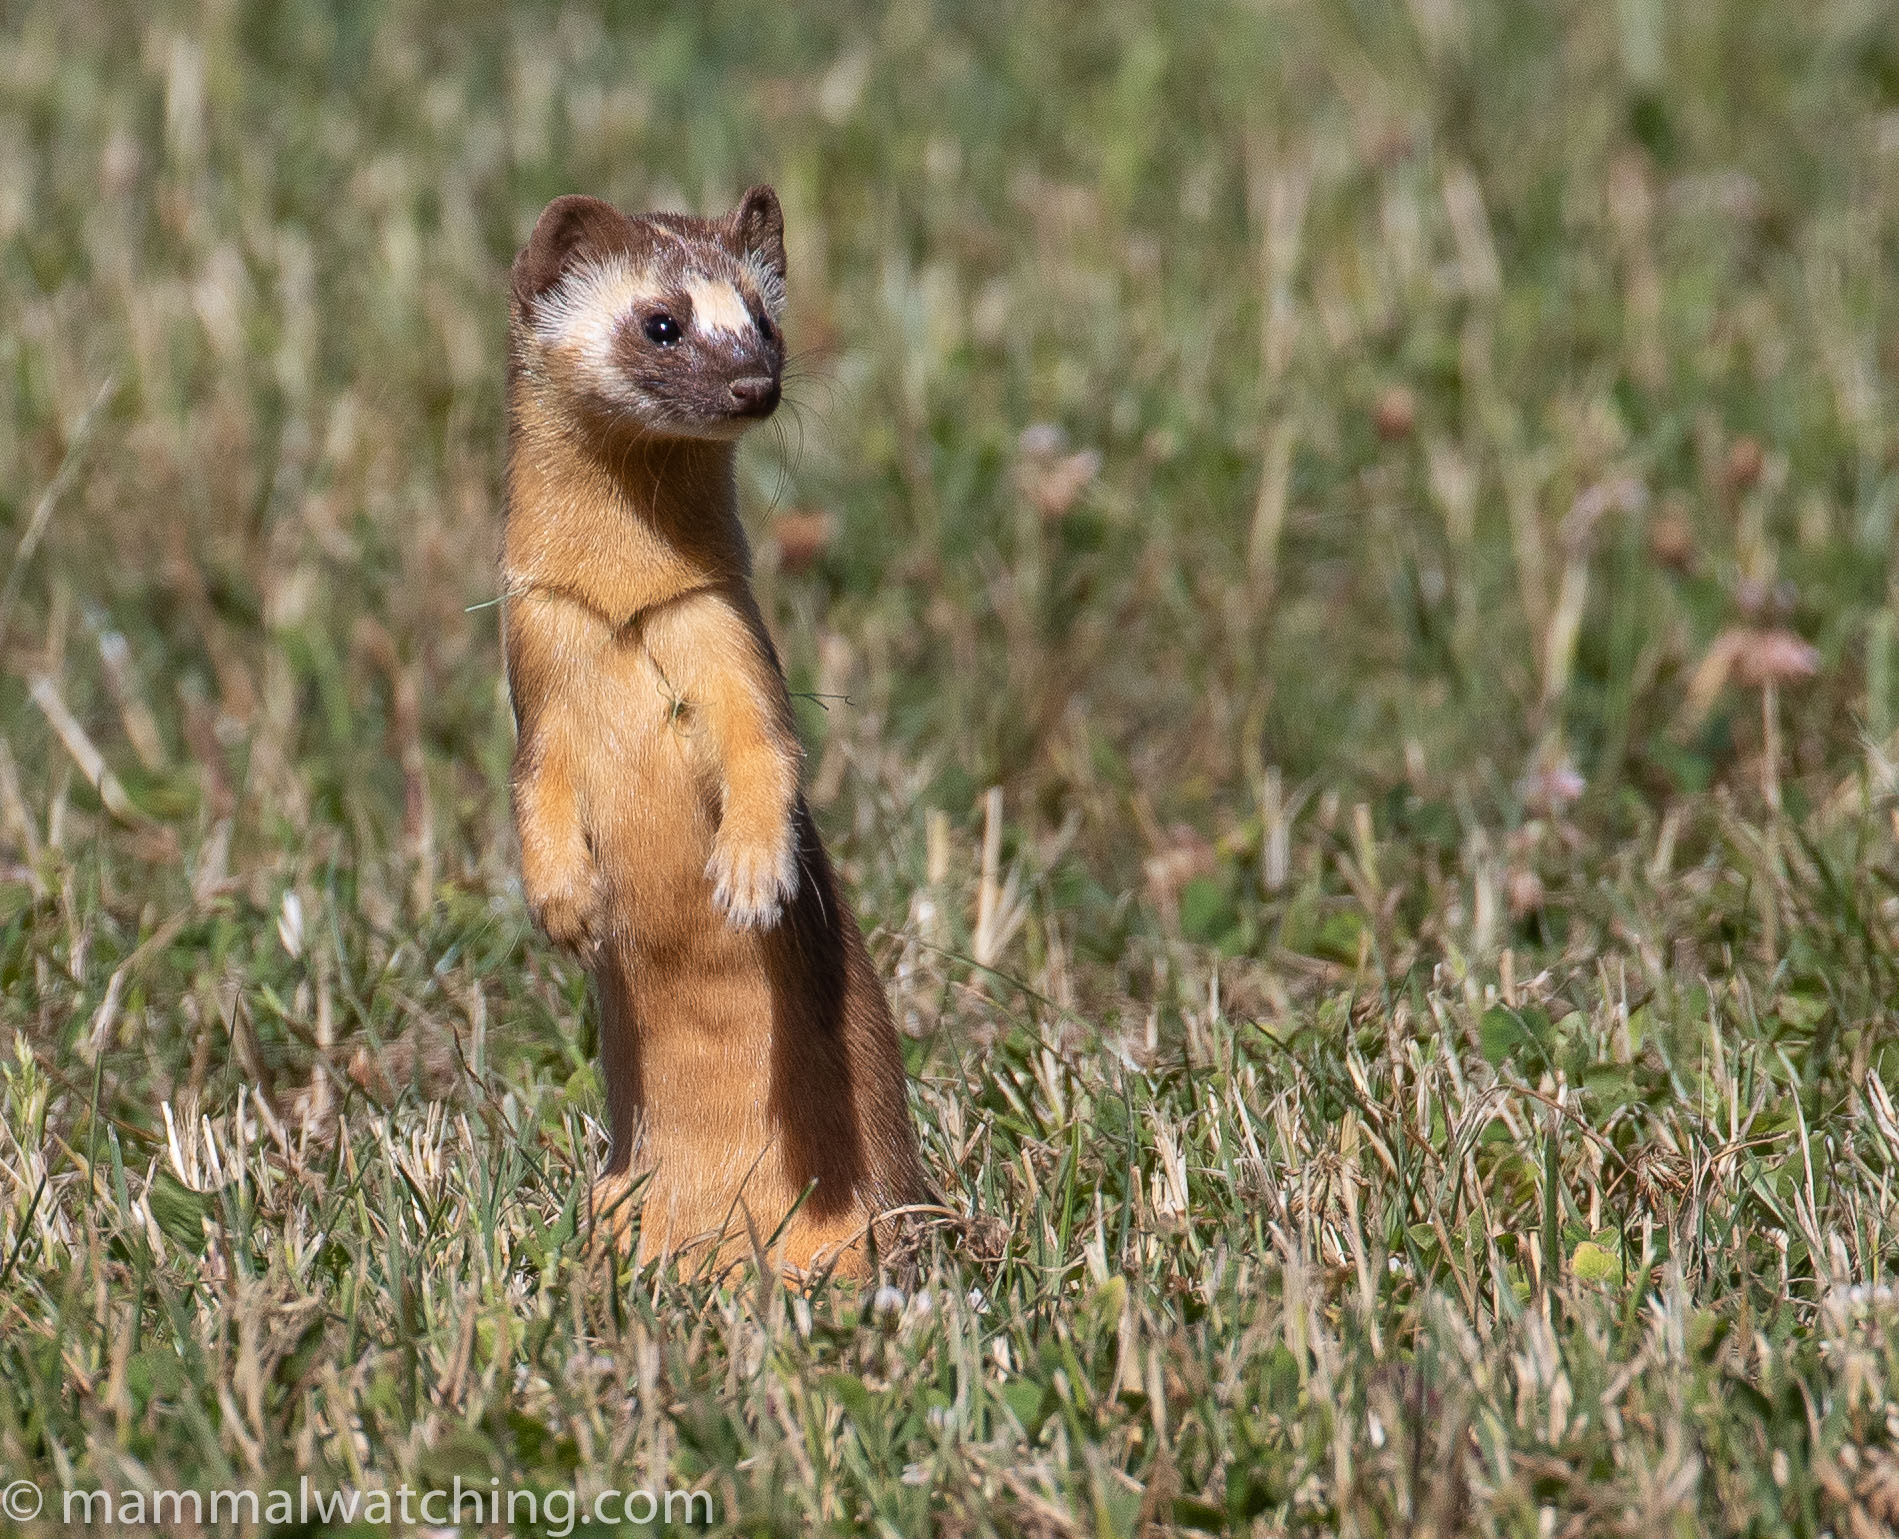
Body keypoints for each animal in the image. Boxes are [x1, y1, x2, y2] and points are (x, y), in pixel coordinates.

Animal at [501, 189, 922, 1269]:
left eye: (763, 316)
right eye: (661, 320)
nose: (754, 384)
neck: (623, 612)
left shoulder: (726, 638)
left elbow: (765, 750)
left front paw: (752, 873)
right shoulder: (536, 666)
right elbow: (533, 792)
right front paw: (565, 905)